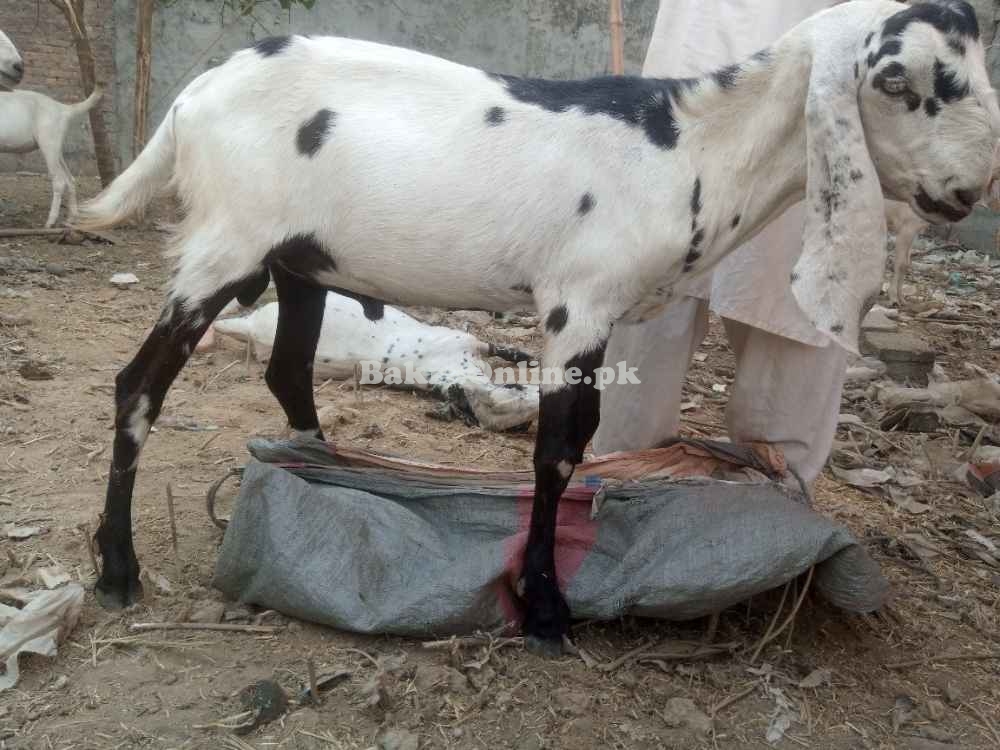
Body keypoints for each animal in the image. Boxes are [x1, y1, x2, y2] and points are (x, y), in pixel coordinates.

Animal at [78, 0, 1000, 656]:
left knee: (287, 369)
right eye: (899, 81)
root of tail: (192, 97)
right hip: (225, 244)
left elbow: (578, 442)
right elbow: (558, 450)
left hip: (300, 260)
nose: (973, 187)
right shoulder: (577, 303)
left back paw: (323, 469)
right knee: (137, 387)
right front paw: (547, 611)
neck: (692, 148)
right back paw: (117, 569)